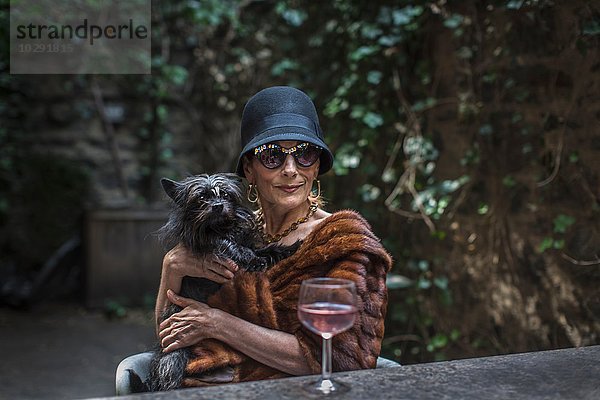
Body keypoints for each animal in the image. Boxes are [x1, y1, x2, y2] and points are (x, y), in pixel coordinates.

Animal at [139, 173, 300, 392]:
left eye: (224, 194)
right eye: (201, 199)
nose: (217, 206)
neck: (219, 227)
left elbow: (267, 250)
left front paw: (291, 247)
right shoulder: (206, 242)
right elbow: (228, 245)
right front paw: (253, 260)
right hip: (174, 352)